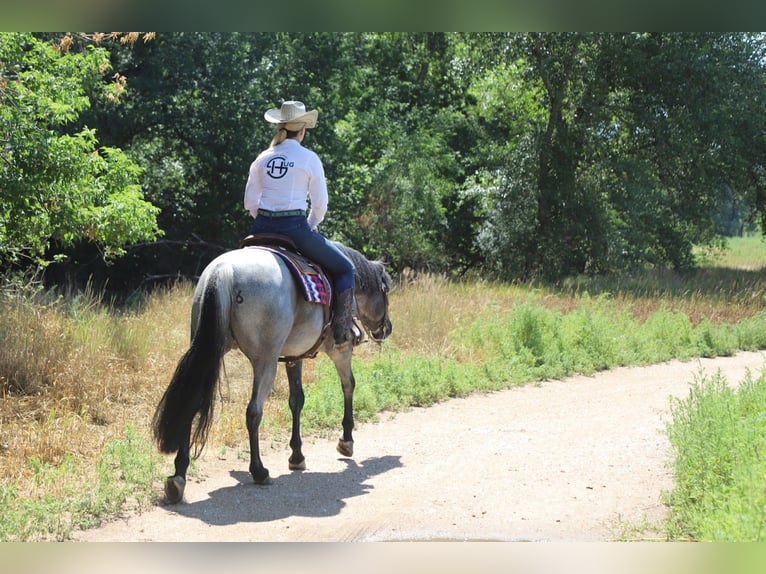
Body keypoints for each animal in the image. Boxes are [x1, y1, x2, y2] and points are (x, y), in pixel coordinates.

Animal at [151, 241, 393, 504]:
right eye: (386, 292)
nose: (387, 329)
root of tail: (224, 270)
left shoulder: (294, 356)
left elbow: (296, 400)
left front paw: (297, 455)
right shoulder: (340, 349)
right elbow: (348, 384)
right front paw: (346, 440)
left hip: (207, 350)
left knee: (191, 403)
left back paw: (178, 477)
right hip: (265, 360)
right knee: (254, 412)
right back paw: (259, 471)